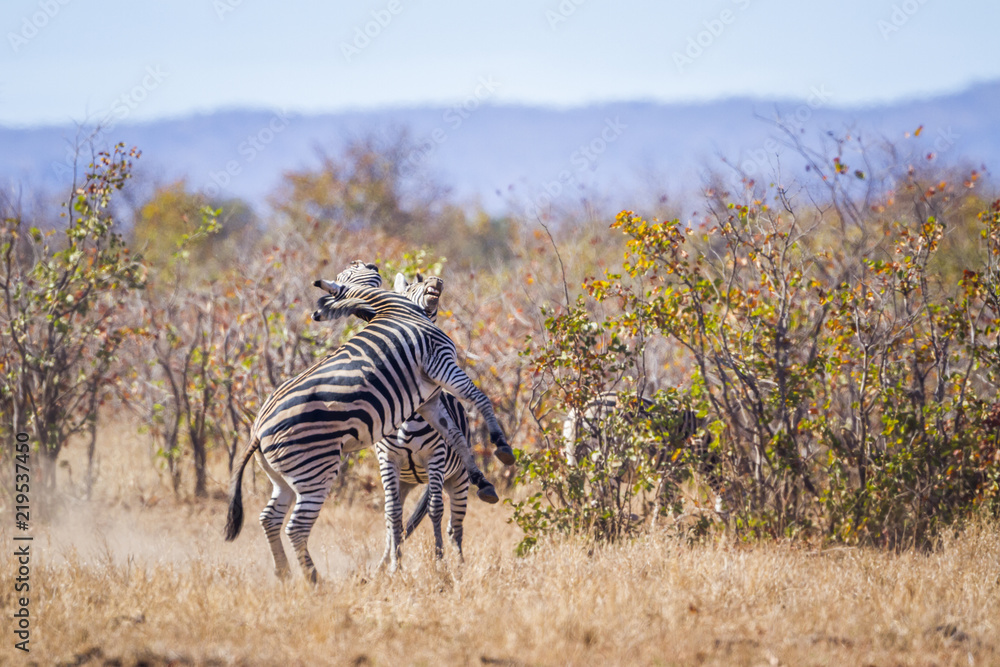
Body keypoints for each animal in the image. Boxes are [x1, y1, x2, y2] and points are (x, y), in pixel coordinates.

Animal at [224, 267, 512, 582]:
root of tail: (258, 429)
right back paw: (316, 582)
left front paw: (482, 477)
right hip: (315, 471)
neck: (393, 308)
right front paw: (502, 446)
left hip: (282, 477)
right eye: (355, 267)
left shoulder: (428, 398)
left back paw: (284, 574)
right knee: (296, 528)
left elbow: (455, 434)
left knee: (270, 518)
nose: (435, 281)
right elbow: (481, 399)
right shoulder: (441, 362)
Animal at [562, 391, 724, 511]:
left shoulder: (667, 472)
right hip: (606, 460)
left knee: (576, 498)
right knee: (600, 498)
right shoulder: (674, 469)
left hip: (574, 460)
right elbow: (666, 504)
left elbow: (664, 503)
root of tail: (582, 410)